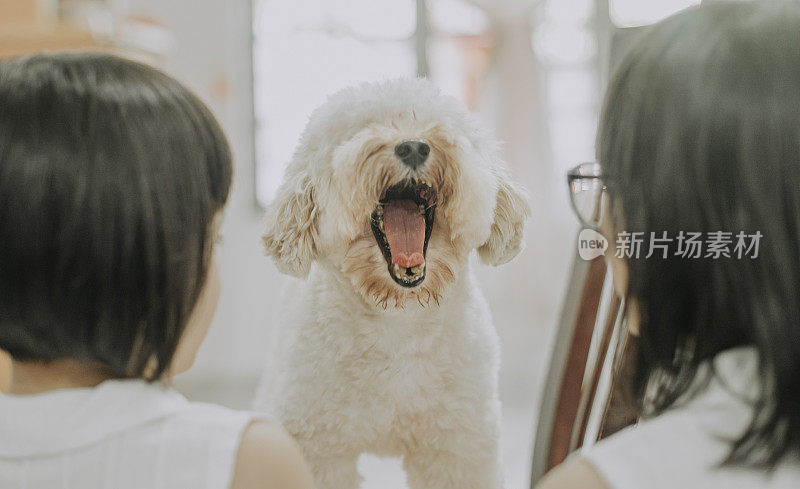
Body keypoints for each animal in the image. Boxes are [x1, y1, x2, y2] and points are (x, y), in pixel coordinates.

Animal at [256, 78, 528, 486]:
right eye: (361, 129)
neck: (398, 317)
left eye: (436, 121)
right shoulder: (318, 448)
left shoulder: (458, 447)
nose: (413, 146)